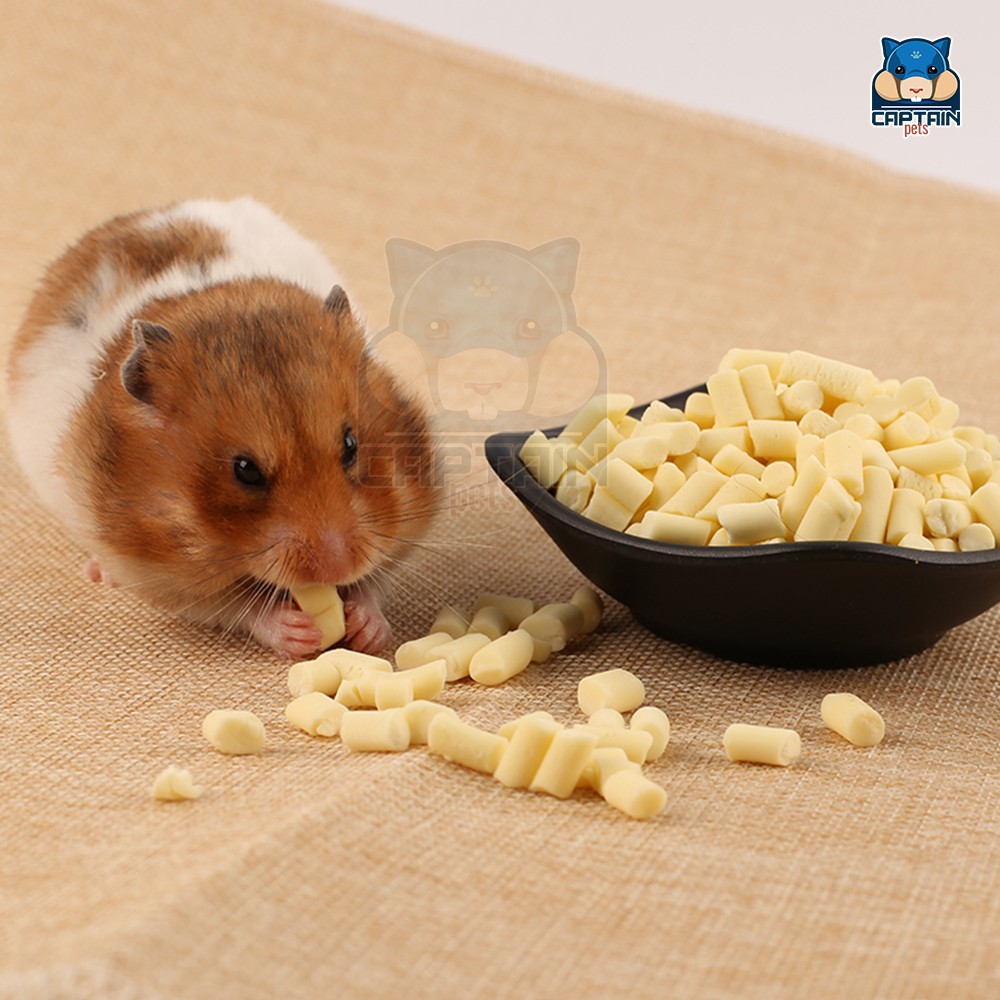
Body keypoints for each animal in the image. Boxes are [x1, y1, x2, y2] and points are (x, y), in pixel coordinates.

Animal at [5, 198, 436, 659]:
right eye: (245, 470)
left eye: (352, 445)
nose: (338, 566)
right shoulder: (166, 575)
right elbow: (239, 606)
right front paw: (299, 633)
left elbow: (375, 580)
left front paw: (367, 627)